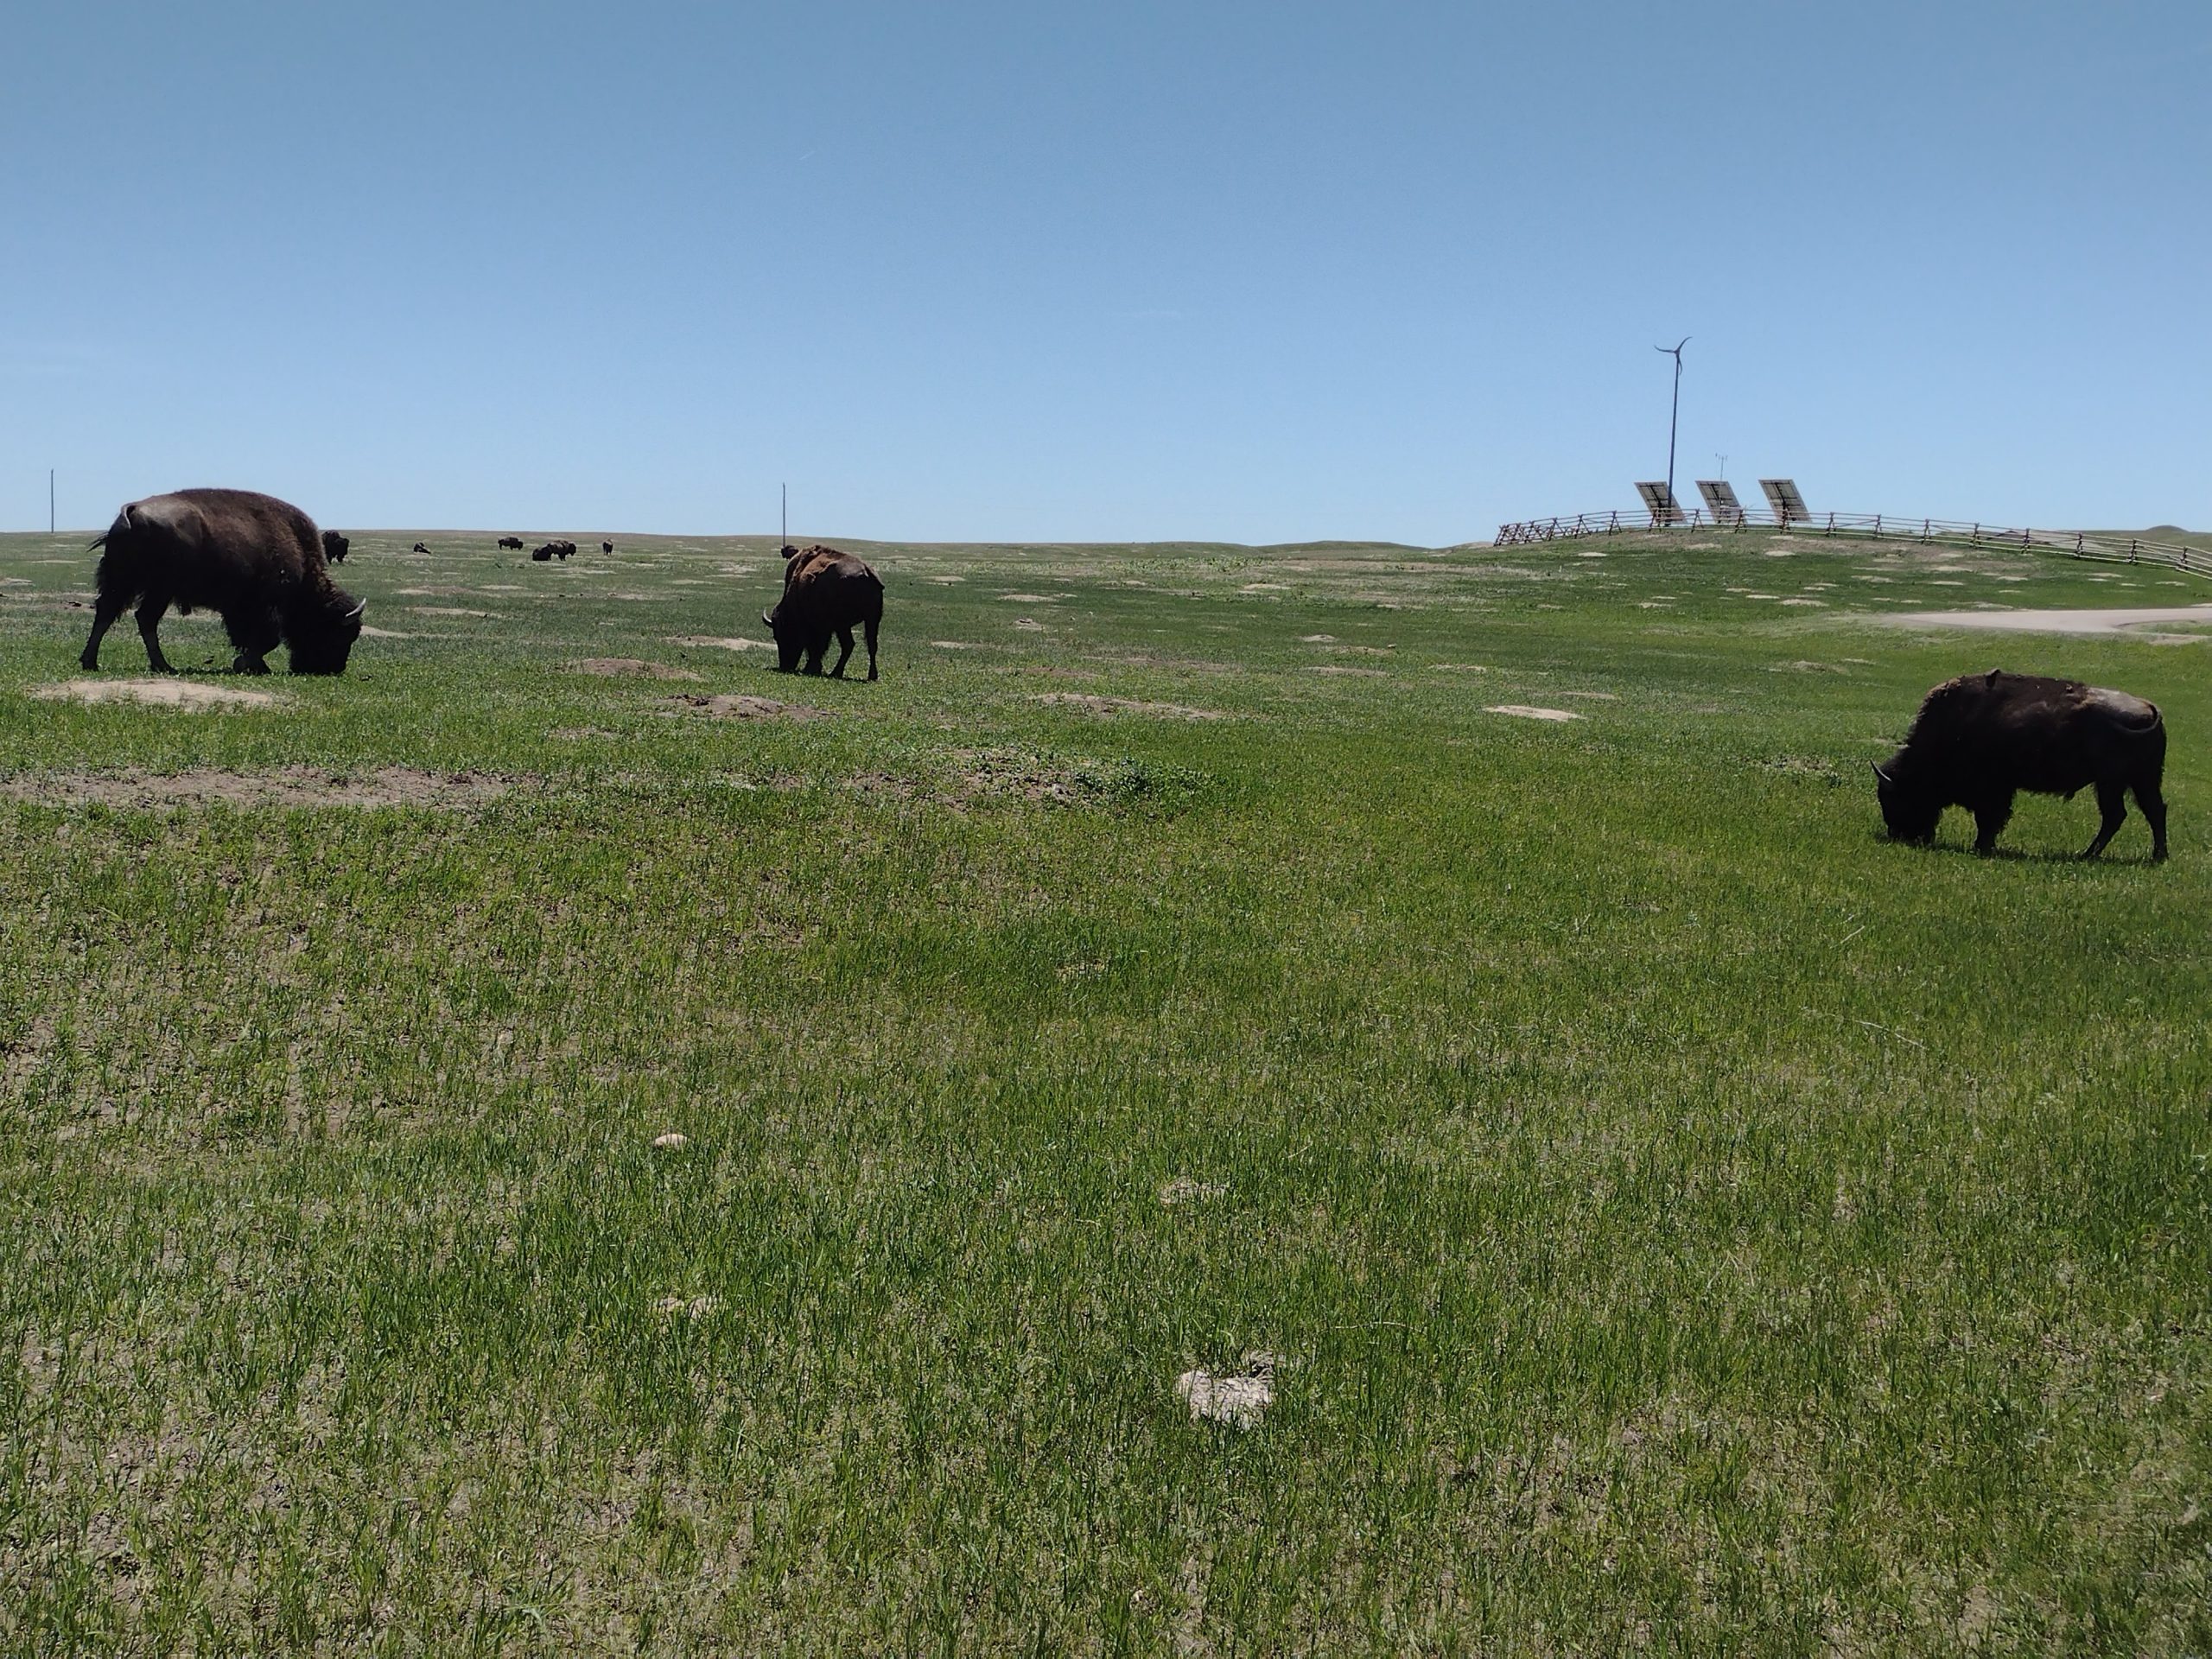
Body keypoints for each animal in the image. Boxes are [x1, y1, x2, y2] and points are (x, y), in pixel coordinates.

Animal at [79, 491, 366, 677]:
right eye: (336, 634)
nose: (332, 669)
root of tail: (133, 510)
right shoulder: (267, 604)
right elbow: (266, 639)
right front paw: (245, 664)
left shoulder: (239, 609)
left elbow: (246, 637)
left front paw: (257, 666)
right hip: (158, 588)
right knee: (143, 618)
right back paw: (162, 666)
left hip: (126, 582)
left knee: (109, 613)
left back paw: (92, 662)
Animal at [765, 542, 885, 677]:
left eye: (782, 634)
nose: (785, 666)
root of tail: (867, 573)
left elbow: (816, 647)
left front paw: (811, 668)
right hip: (871, 620)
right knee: (869, 645)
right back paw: (870, 675)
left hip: (844, 625)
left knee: (849, 645)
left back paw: (836, 672)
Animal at [1875, 668, 2167, 862]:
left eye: (1895, 797)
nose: (1897, 834)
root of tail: (2150, 709)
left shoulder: (1993, 791)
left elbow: (1989, 819)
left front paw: (1982, 847)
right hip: (2135, 781)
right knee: (2146, 812)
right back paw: (2151, 856)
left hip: (2114, 782)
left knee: (2122, 815)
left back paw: (2092, 855)